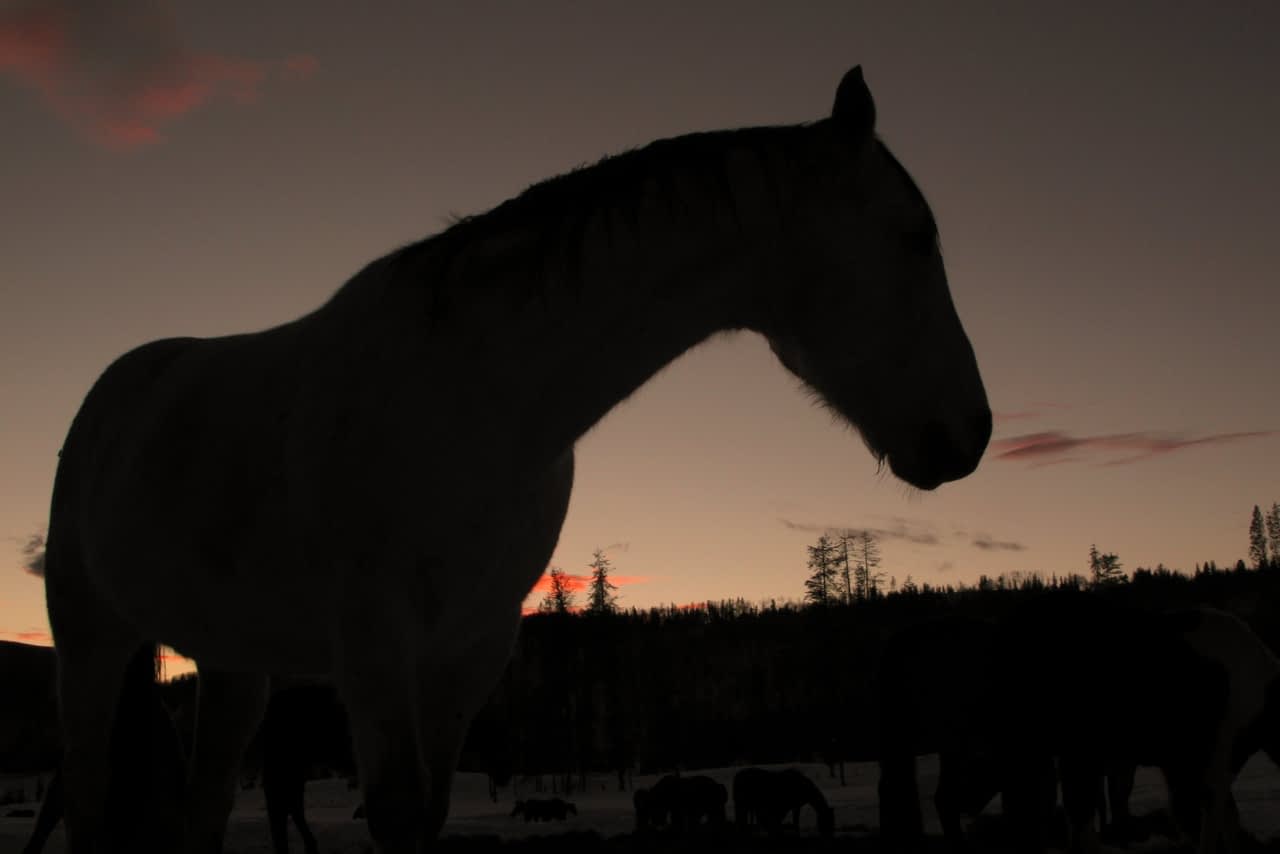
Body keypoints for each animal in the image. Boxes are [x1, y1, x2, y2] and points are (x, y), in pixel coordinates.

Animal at [45, 66, 988, 854]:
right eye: (916, 236)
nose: (973, 430)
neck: (481, 394)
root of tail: (117, 389)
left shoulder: (470, 650)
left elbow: (426, 815)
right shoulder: (373, 642)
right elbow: (396, 813)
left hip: (234, 663)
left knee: (200, 812)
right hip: (90, 644)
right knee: (90, 803)